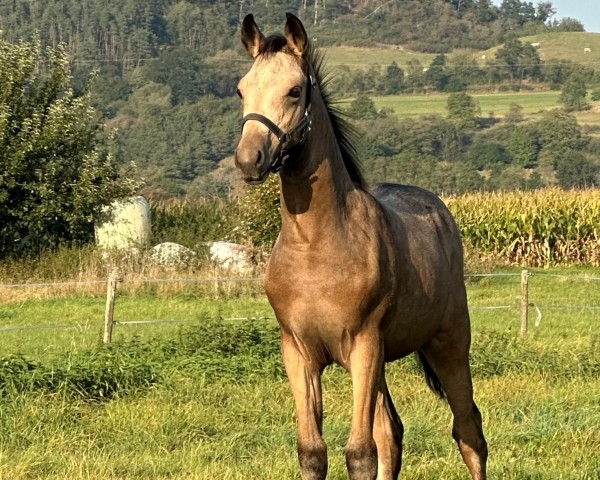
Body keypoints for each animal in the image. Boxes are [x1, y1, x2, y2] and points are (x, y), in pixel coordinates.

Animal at [234, 13, 488, 478]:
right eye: (242, 89)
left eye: (294, 90)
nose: (249, 160)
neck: (316, 245)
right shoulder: (298, 352)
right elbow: (313, 451)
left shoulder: (364, 345)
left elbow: (359, 453)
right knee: (392, 431)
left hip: (449, 343)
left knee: (468, 430)